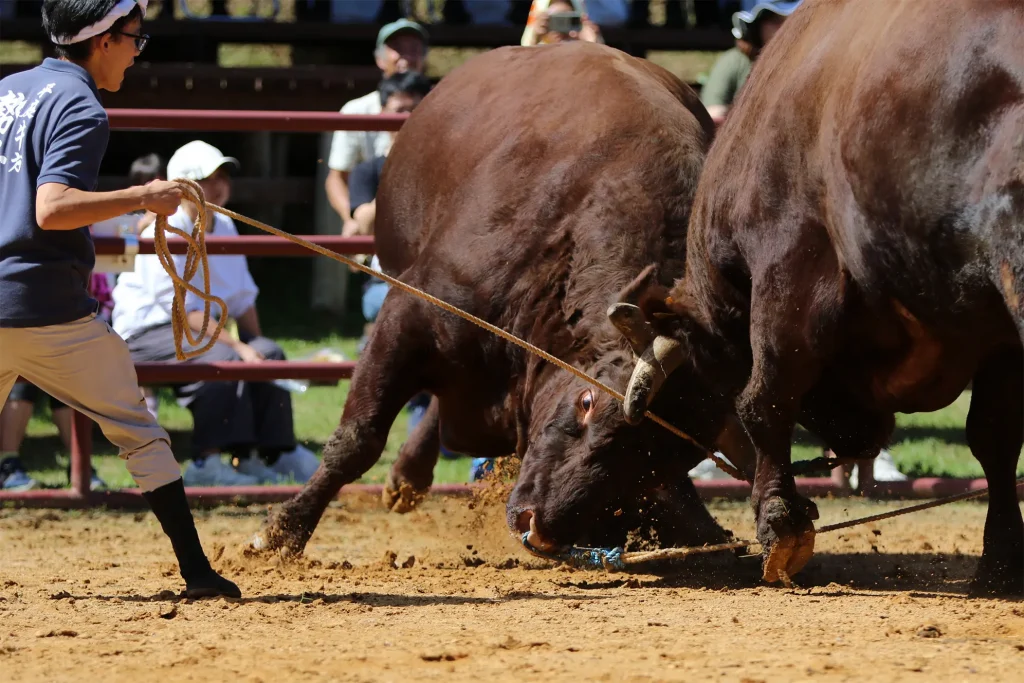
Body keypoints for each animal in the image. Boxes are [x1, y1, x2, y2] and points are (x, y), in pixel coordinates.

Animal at [252, 38, 741, 557]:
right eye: (587, 402)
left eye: (657, 460)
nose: (540, 530)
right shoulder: (410, 312)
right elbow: (357, 439)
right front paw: (282, 531)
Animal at [509, 0, 1024, 593]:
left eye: (648, 443)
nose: (532, 521)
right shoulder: (994, 334)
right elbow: (995, 436)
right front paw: (1001, 562)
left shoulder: (790, 273)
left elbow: (763, 400)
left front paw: (779, 525)